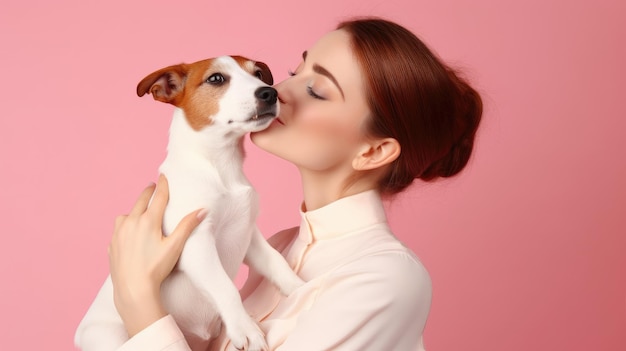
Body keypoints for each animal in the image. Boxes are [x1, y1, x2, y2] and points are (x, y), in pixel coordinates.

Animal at [74, 56, 304, 350]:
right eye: (216, 79)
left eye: (259, 74)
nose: (269, 93)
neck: (220, 166)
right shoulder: (195, 243)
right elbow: (226, 287)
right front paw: (246, 329)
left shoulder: (248, 233)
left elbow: (275, 262)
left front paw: (300, 288)